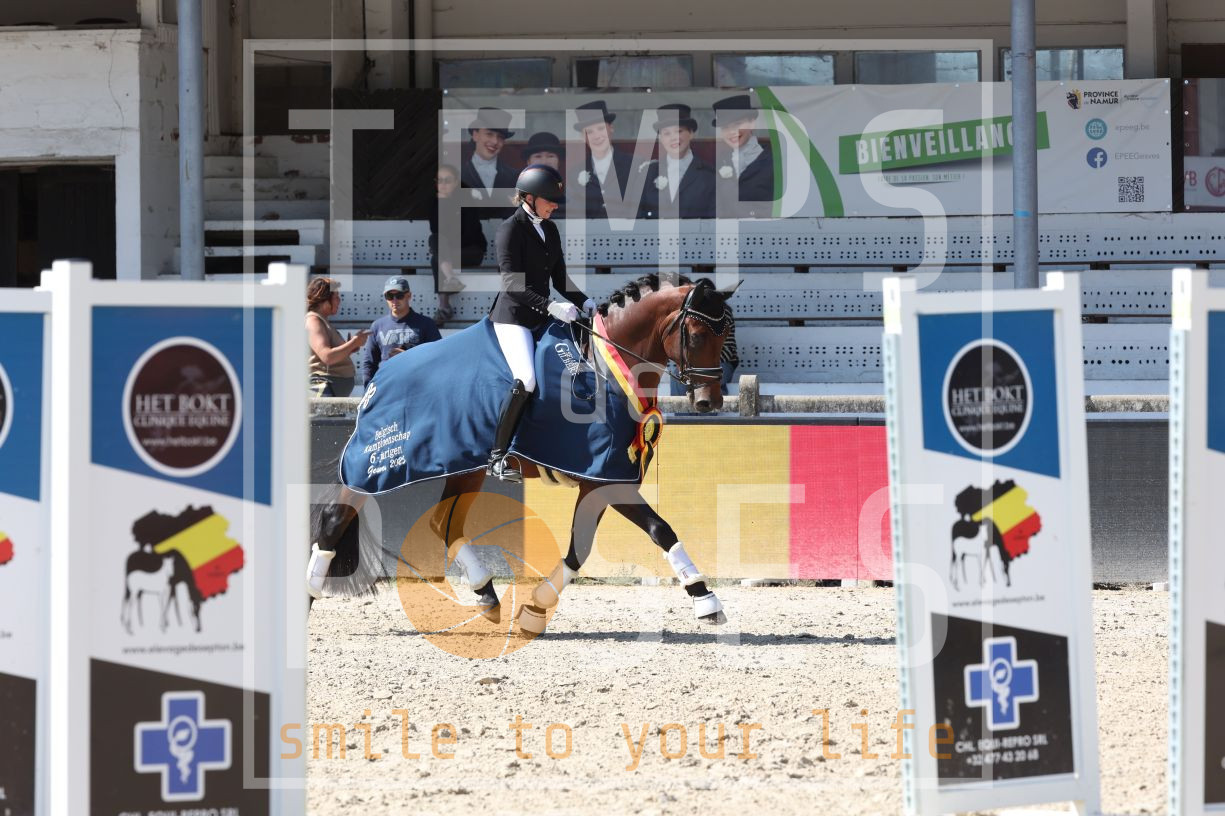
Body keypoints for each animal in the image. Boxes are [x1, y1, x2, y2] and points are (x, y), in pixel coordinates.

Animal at [310, 274, 737, 634]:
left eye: (727, 335)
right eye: (697, 334)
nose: (709, 402)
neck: (604, 368)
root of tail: (378, 379)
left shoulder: (600, 479)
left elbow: (580, 549)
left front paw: (534, 610)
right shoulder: (607, 477)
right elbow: (659, 530)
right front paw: (706, 599)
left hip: (464, 468)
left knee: (444, 525)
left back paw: (486, 593)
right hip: (376, 467)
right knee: (334, 518)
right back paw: (307, 600)